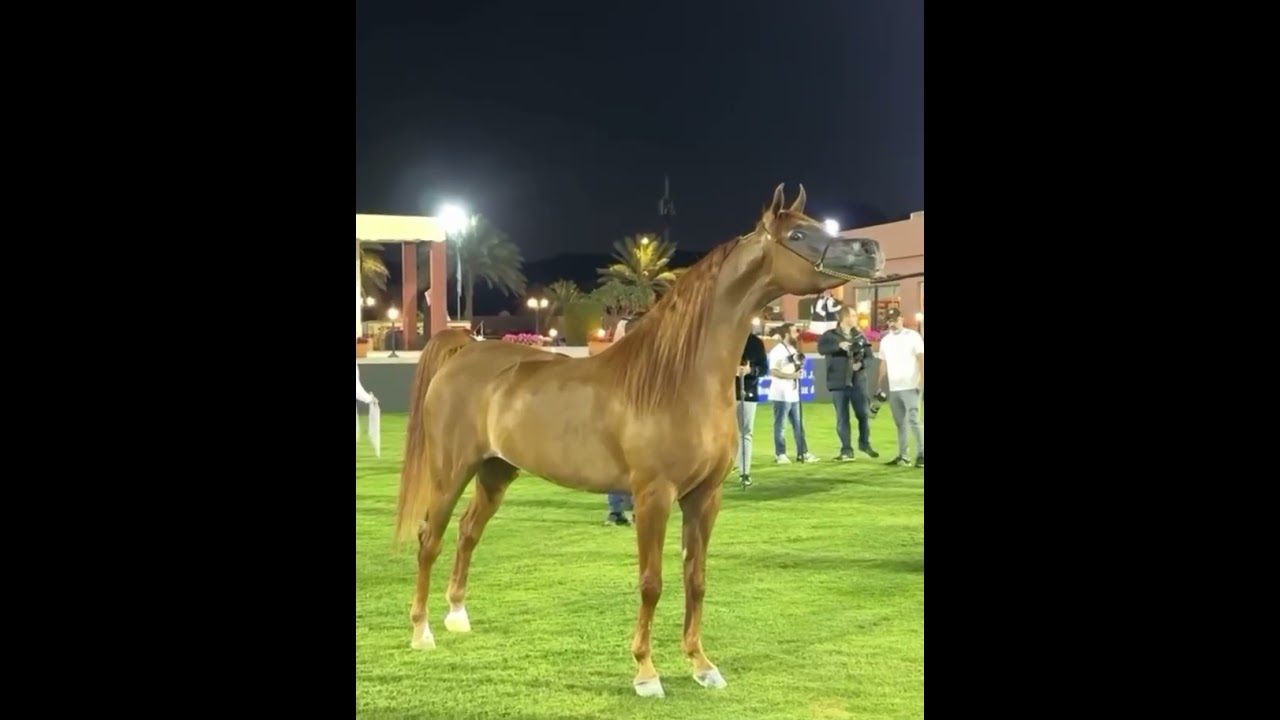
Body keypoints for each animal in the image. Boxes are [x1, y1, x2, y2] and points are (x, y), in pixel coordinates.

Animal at [392, 183, 886, 698]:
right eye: (798, 234)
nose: (871, 250)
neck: (676, 377)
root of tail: (465, 349)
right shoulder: (653, 496)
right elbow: (652, 582)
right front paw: (646, 673)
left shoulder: (705, 497)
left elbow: (696, 578)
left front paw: (701, 664)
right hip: (451, 471)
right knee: (430, 538)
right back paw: (421, 631)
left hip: (496, 470)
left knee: (469, 532)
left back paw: (457, 615)